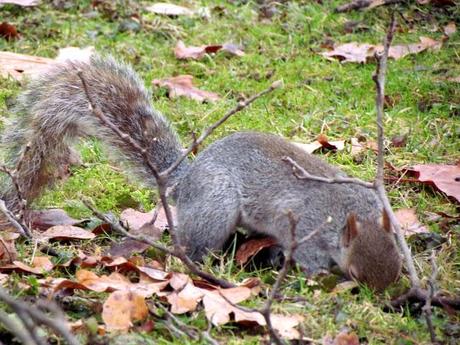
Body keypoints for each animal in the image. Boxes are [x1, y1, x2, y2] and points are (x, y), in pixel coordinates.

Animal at [0, 54, 400, 290]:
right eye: (356, 274)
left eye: (397, 260)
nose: (382, 299)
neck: (350, 212)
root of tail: (184, 183)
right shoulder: (306, 230)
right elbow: (308, 257)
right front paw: (319, 277)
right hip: (216, 207)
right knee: (191, 245)